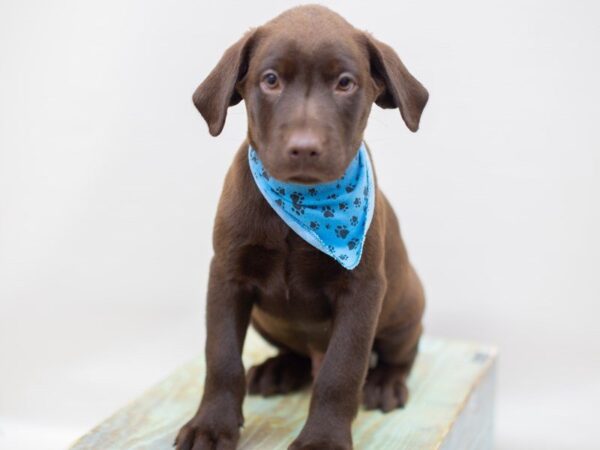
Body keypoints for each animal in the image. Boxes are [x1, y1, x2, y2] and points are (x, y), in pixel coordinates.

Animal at [176, 4, 428, 450]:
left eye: (345, 83)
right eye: (270, 79)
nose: (305, 148)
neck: (301, 206)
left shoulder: (362, 290)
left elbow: (341, 371)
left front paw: (323, 439)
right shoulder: (227, 275)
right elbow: (221, 356)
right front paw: (211, 424)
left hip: (406, 305)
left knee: (402, 352)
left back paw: (385, 382)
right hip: (266, 320)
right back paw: (278, 369)